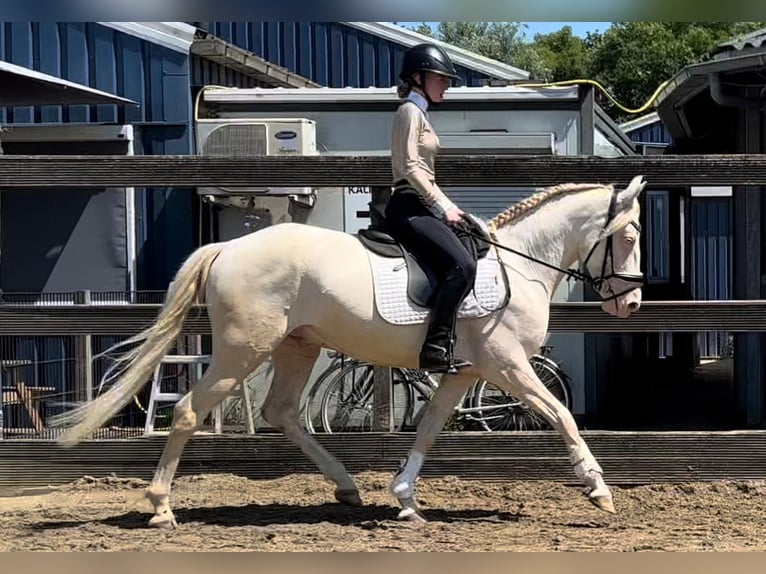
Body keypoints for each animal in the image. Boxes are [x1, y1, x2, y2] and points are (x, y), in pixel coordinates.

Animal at [49, 176, 648, 532]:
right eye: (629, 235)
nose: (632, 303)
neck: (519, 264)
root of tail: (228, 248)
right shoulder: (507, 365)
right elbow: (562, 415)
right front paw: (599, 491)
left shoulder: (465, 371)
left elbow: (432, 423)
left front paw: (405, 498)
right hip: (245, 350)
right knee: (190, 411)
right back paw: (161, 508)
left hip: (298, 345)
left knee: (281, 412)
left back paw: (347, 486)